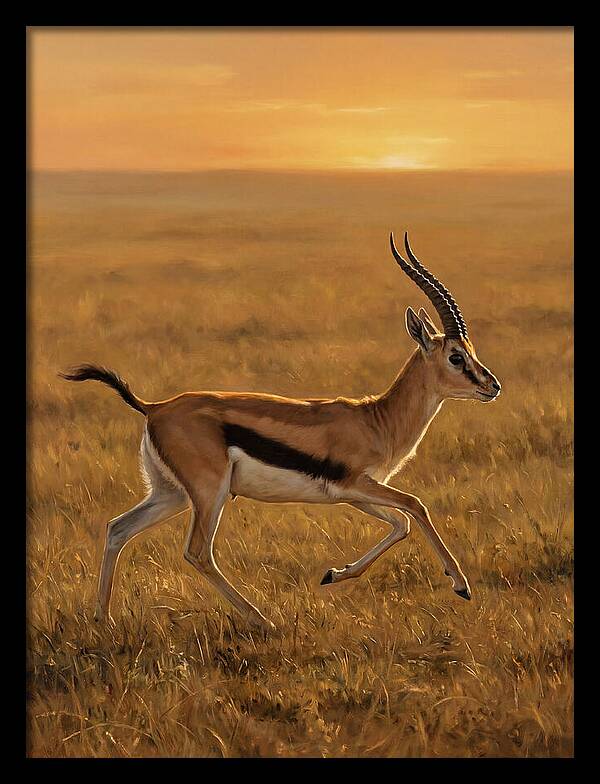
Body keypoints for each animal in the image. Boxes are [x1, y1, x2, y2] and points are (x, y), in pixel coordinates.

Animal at [61, 232, 501, 633]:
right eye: (456, 356)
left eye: (471, 351)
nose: (492, 385)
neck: (376, 419)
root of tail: (154, 407)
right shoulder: (356, 484)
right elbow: (415, 506)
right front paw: (461, 585)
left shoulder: (352, 493)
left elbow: (401, 524)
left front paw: (333, 574)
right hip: (209, 493)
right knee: (198, 552)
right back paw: (263, 620)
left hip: (171, 494)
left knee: (118, 529)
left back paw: (103, 620)